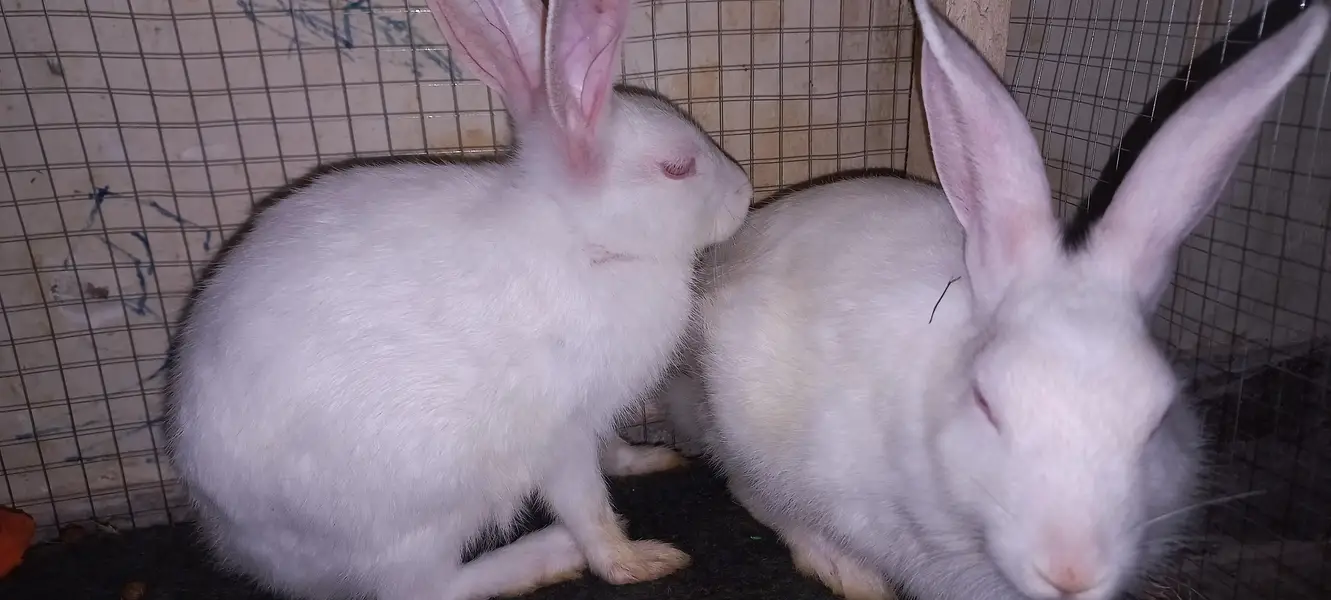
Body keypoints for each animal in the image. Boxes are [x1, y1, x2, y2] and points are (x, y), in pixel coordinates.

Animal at [164, 0, 753, 598]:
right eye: (677, 169)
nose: (746, 191)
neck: (588, 241)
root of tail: (249, 553)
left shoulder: (596, 414)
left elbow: (609, 450)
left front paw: (650, 458)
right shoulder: (559, 430)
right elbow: (586, 506)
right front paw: (635, 561)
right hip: (424, 520)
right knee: (430, 587)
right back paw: (550, 553)